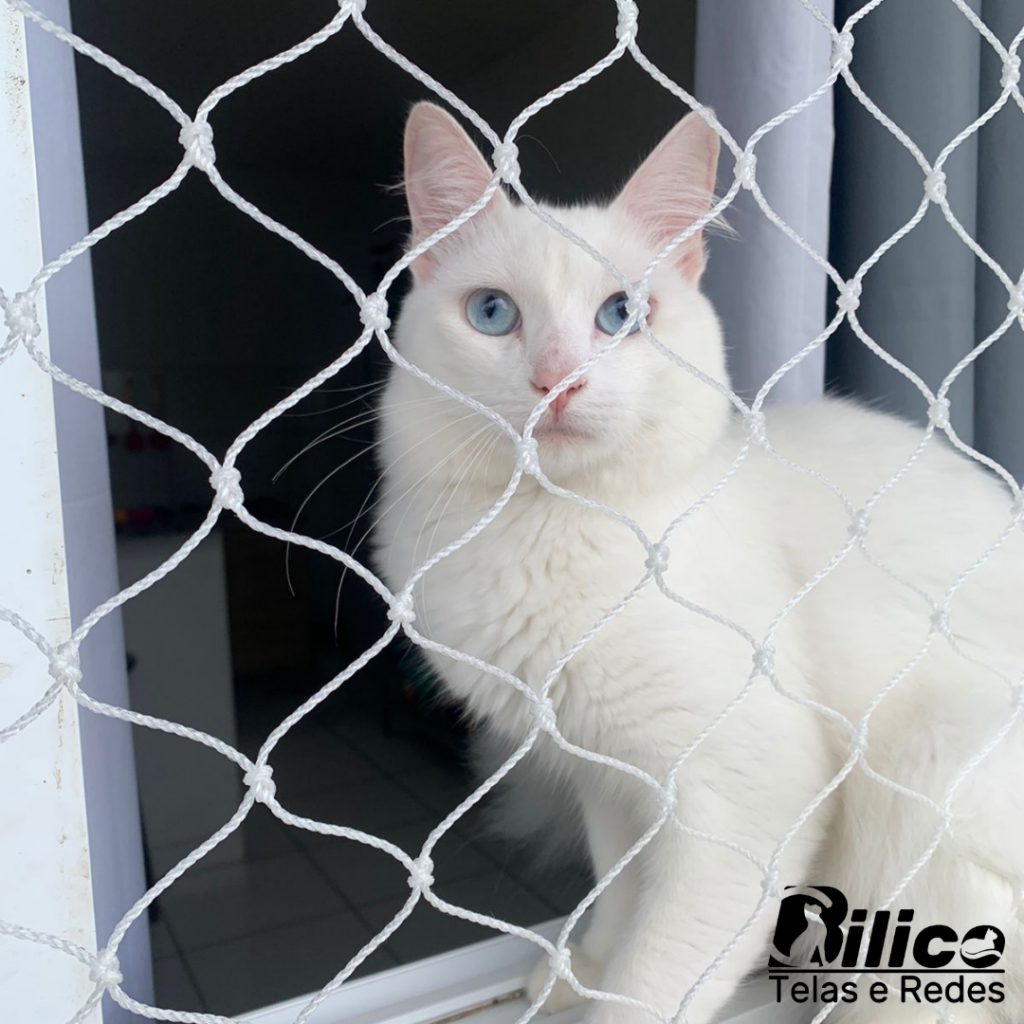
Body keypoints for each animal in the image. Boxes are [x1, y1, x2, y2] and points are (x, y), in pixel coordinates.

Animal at [374, 101, 1024, 1024]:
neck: (550, 528)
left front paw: (610, 995)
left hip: (931, 769)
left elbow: (658, 976)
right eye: (493, 314)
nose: (556, 382)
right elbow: (618, 891)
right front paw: (585, 970)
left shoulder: (742, 796)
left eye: (621, 315)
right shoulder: (609, 780)